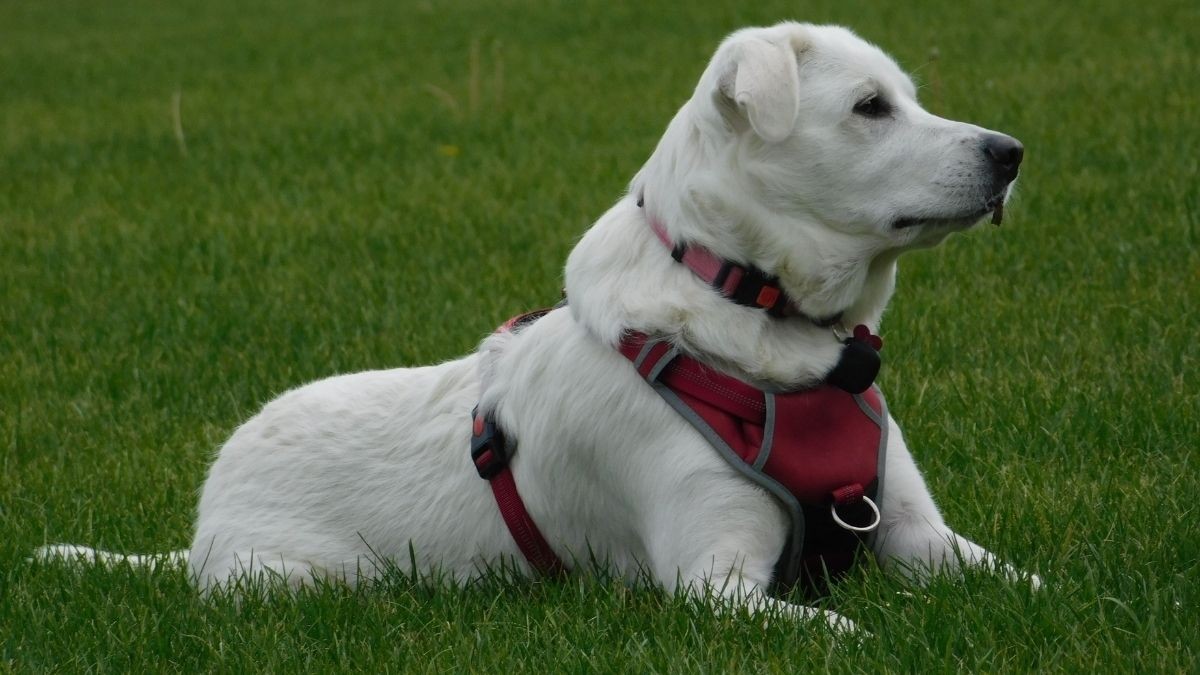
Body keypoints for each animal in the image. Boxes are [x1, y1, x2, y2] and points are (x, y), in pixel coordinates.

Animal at [39, 22, 1032, 629]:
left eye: (907, 95)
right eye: (870, 107)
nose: (1013, 152)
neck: (771, 330)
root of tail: (200, 530)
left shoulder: (917, 534)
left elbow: (1025, 582)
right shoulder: (712, 584)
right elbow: (838, 626)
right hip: (301, 582)